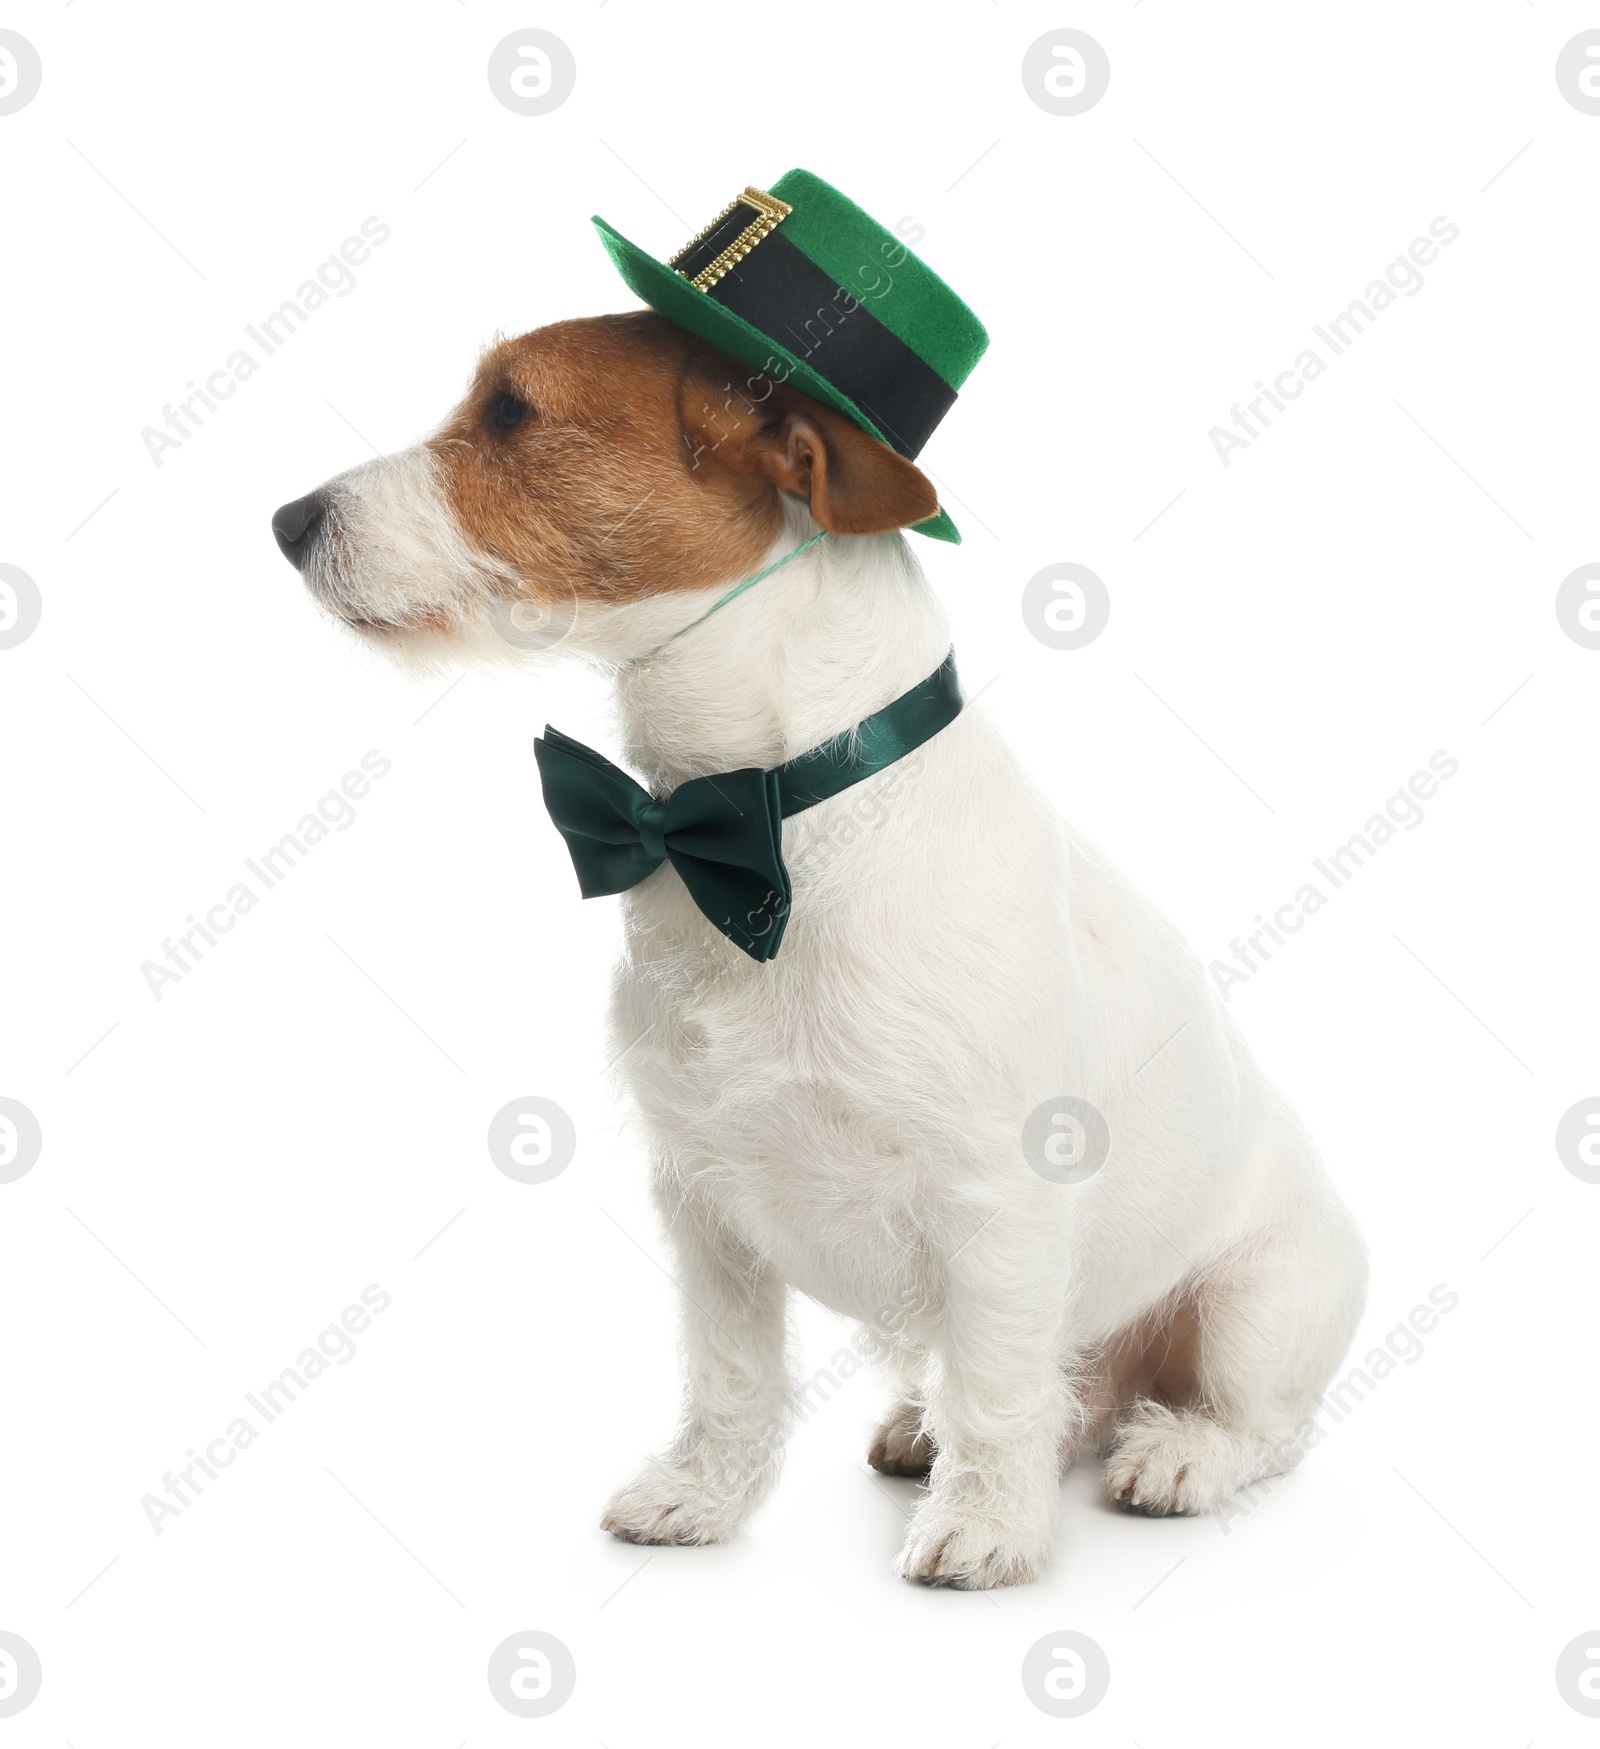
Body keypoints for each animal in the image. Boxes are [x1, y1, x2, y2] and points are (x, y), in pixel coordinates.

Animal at [272, 225, 1363, 1595]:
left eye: (511, 410)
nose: (285, 520)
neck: (763, 819)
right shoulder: (702, 1202)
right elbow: (733, 1379)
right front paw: (701, 1497)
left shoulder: (1000, 1203)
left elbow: (999, 1386)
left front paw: (985, 1530)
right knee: (1053, 1397)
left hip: (1260, 1304)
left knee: (1246, 1421)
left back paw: (1177, 1454)